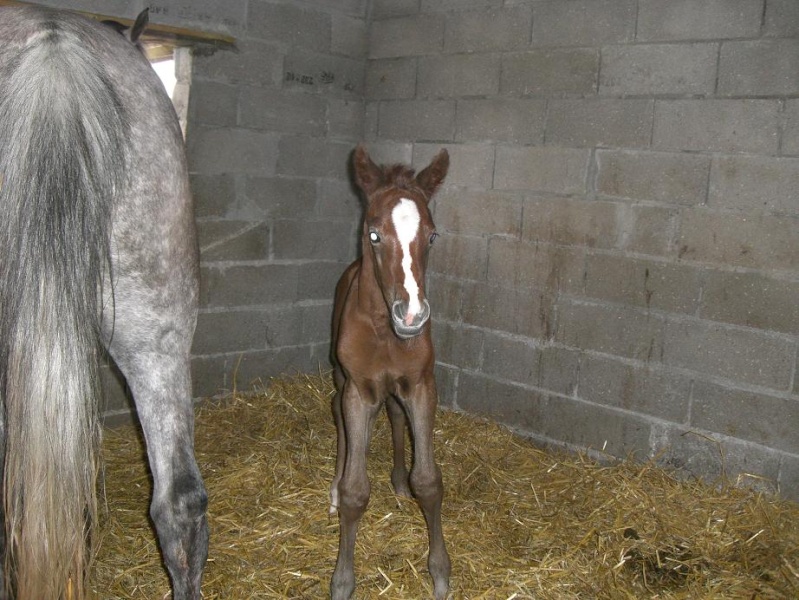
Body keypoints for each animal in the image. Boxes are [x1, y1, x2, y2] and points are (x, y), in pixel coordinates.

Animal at [330, 146, 450, 600]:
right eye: (374, 235)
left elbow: (428, 482)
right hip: (341, 381)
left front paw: (440, 574)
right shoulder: (359, 390)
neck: (384, 331)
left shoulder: (420, 385)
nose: (412, 315)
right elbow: (354, 492)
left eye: (432, 236)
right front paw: (342, 582)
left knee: (396, 416)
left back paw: (397, 482)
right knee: (337, 416)